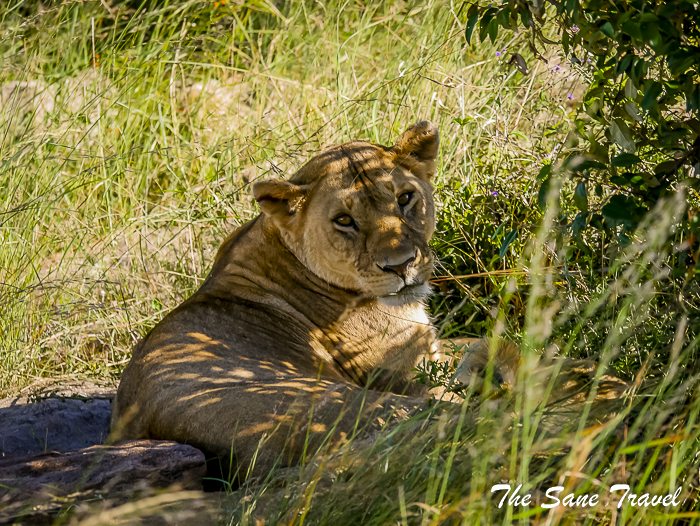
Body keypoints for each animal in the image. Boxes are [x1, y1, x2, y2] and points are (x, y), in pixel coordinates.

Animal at [109, 121, 626, 483]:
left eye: (405, 197)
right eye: (344, 220)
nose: (401, 266)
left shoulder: (432, 347)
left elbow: (490, 343)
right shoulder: (416, 376)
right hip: (369, 404)